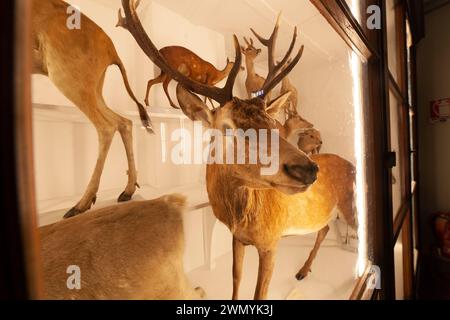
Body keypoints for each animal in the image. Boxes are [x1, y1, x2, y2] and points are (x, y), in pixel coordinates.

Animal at [32, 0, 153, 220]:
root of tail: (112, 51)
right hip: (94, 88)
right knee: (124, 122)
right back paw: (127, 190)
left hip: (66, 77)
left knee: (106, 126)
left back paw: (81, 204)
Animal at [118, 0, 356, 300]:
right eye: (227, 127)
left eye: (271, 123)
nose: (308, 168)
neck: (239, 219)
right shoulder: (236, 238)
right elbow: (236, 277)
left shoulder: (271, 242)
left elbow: (259, 293)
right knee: (323, 228)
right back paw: (303, 270)